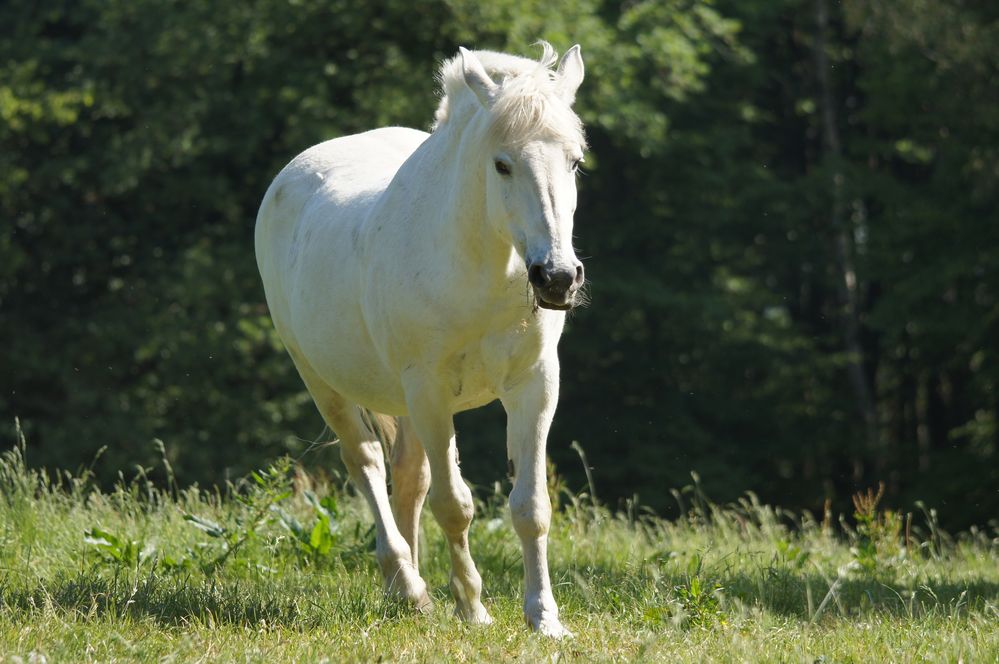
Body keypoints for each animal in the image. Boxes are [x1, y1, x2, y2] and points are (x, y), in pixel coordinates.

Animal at [256, 42, 584, 640]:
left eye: (574, 161)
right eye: (502, 164)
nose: (556, 278)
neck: (481, 268)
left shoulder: (534, 386)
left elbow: (530, 508)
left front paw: (544, 618)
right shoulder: (429, 392)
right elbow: (455, 505)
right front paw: (474, 609)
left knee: (408, 477)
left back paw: (409, 592)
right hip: (323, 381)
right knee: (365, 463)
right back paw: (407, 584)